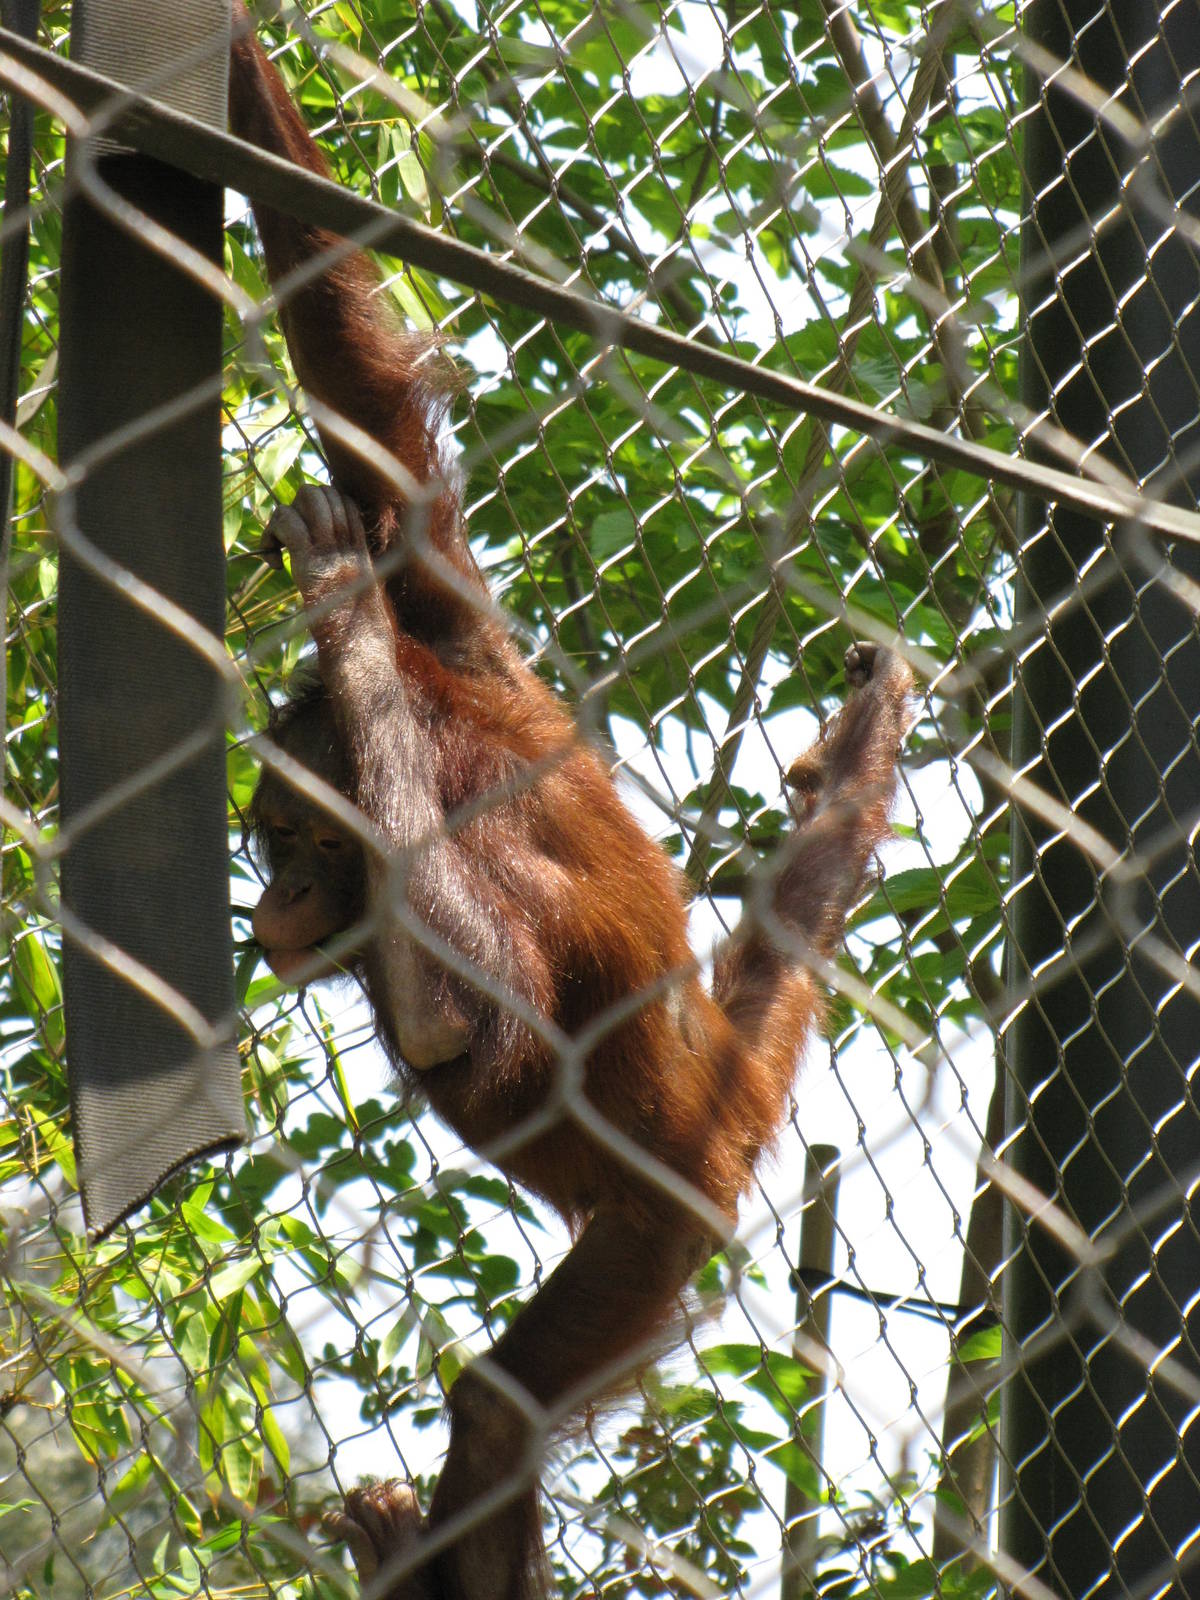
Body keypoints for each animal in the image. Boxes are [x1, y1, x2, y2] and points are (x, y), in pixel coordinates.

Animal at [229, 16, 913, 1600]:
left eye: (314, 847)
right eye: (273, 841)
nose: (276, 899)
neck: (445, 738)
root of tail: (727, 1103)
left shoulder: (479, 840)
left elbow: (455, 1024)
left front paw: (344, 626)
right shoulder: (468, 635)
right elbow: (359, 386)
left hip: (659, 1237)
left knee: (496, 1408)